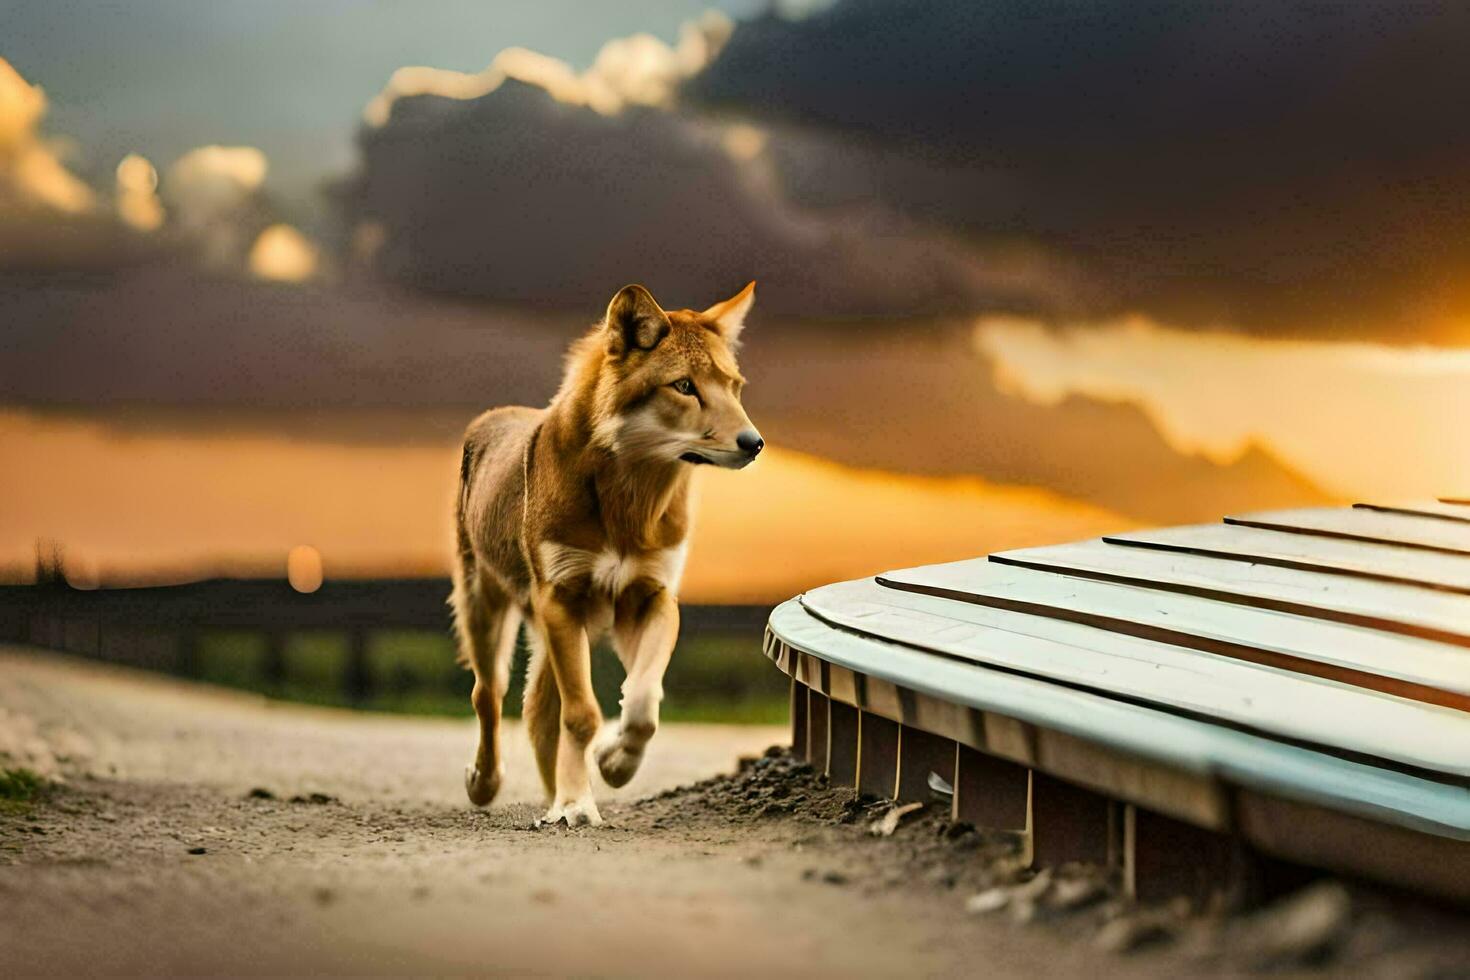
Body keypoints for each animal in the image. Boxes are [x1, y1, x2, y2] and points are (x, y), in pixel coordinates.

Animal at [452, 283, 764, 828]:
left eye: (734, 386)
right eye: (685, 386)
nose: (755, 443)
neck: (629, 501)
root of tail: (491, 416)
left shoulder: (650, 599)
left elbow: (642, 705)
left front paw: (612, 765)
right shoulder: (562, 598)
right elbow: (583, 716)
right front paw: (578, 803)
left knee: (537, 712)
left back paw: (554, 797)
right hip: (488, 611)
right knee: (488, 696)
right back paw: (488, 783)